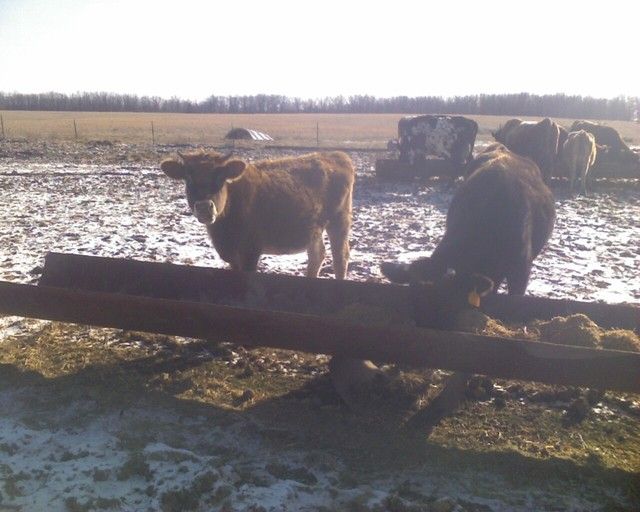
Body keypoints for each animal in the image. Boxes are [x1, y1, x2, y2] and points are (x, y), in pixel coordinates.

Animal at [160, 150, 355, 278]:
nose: (204, 207)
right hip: (314, 229)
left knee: (340, 257)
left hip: (339, 220)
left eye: (220, 178)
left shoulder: (250, 252)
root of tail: (336, 155)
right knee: (317, 255)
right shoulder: (231, 256)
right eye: (188, 178)